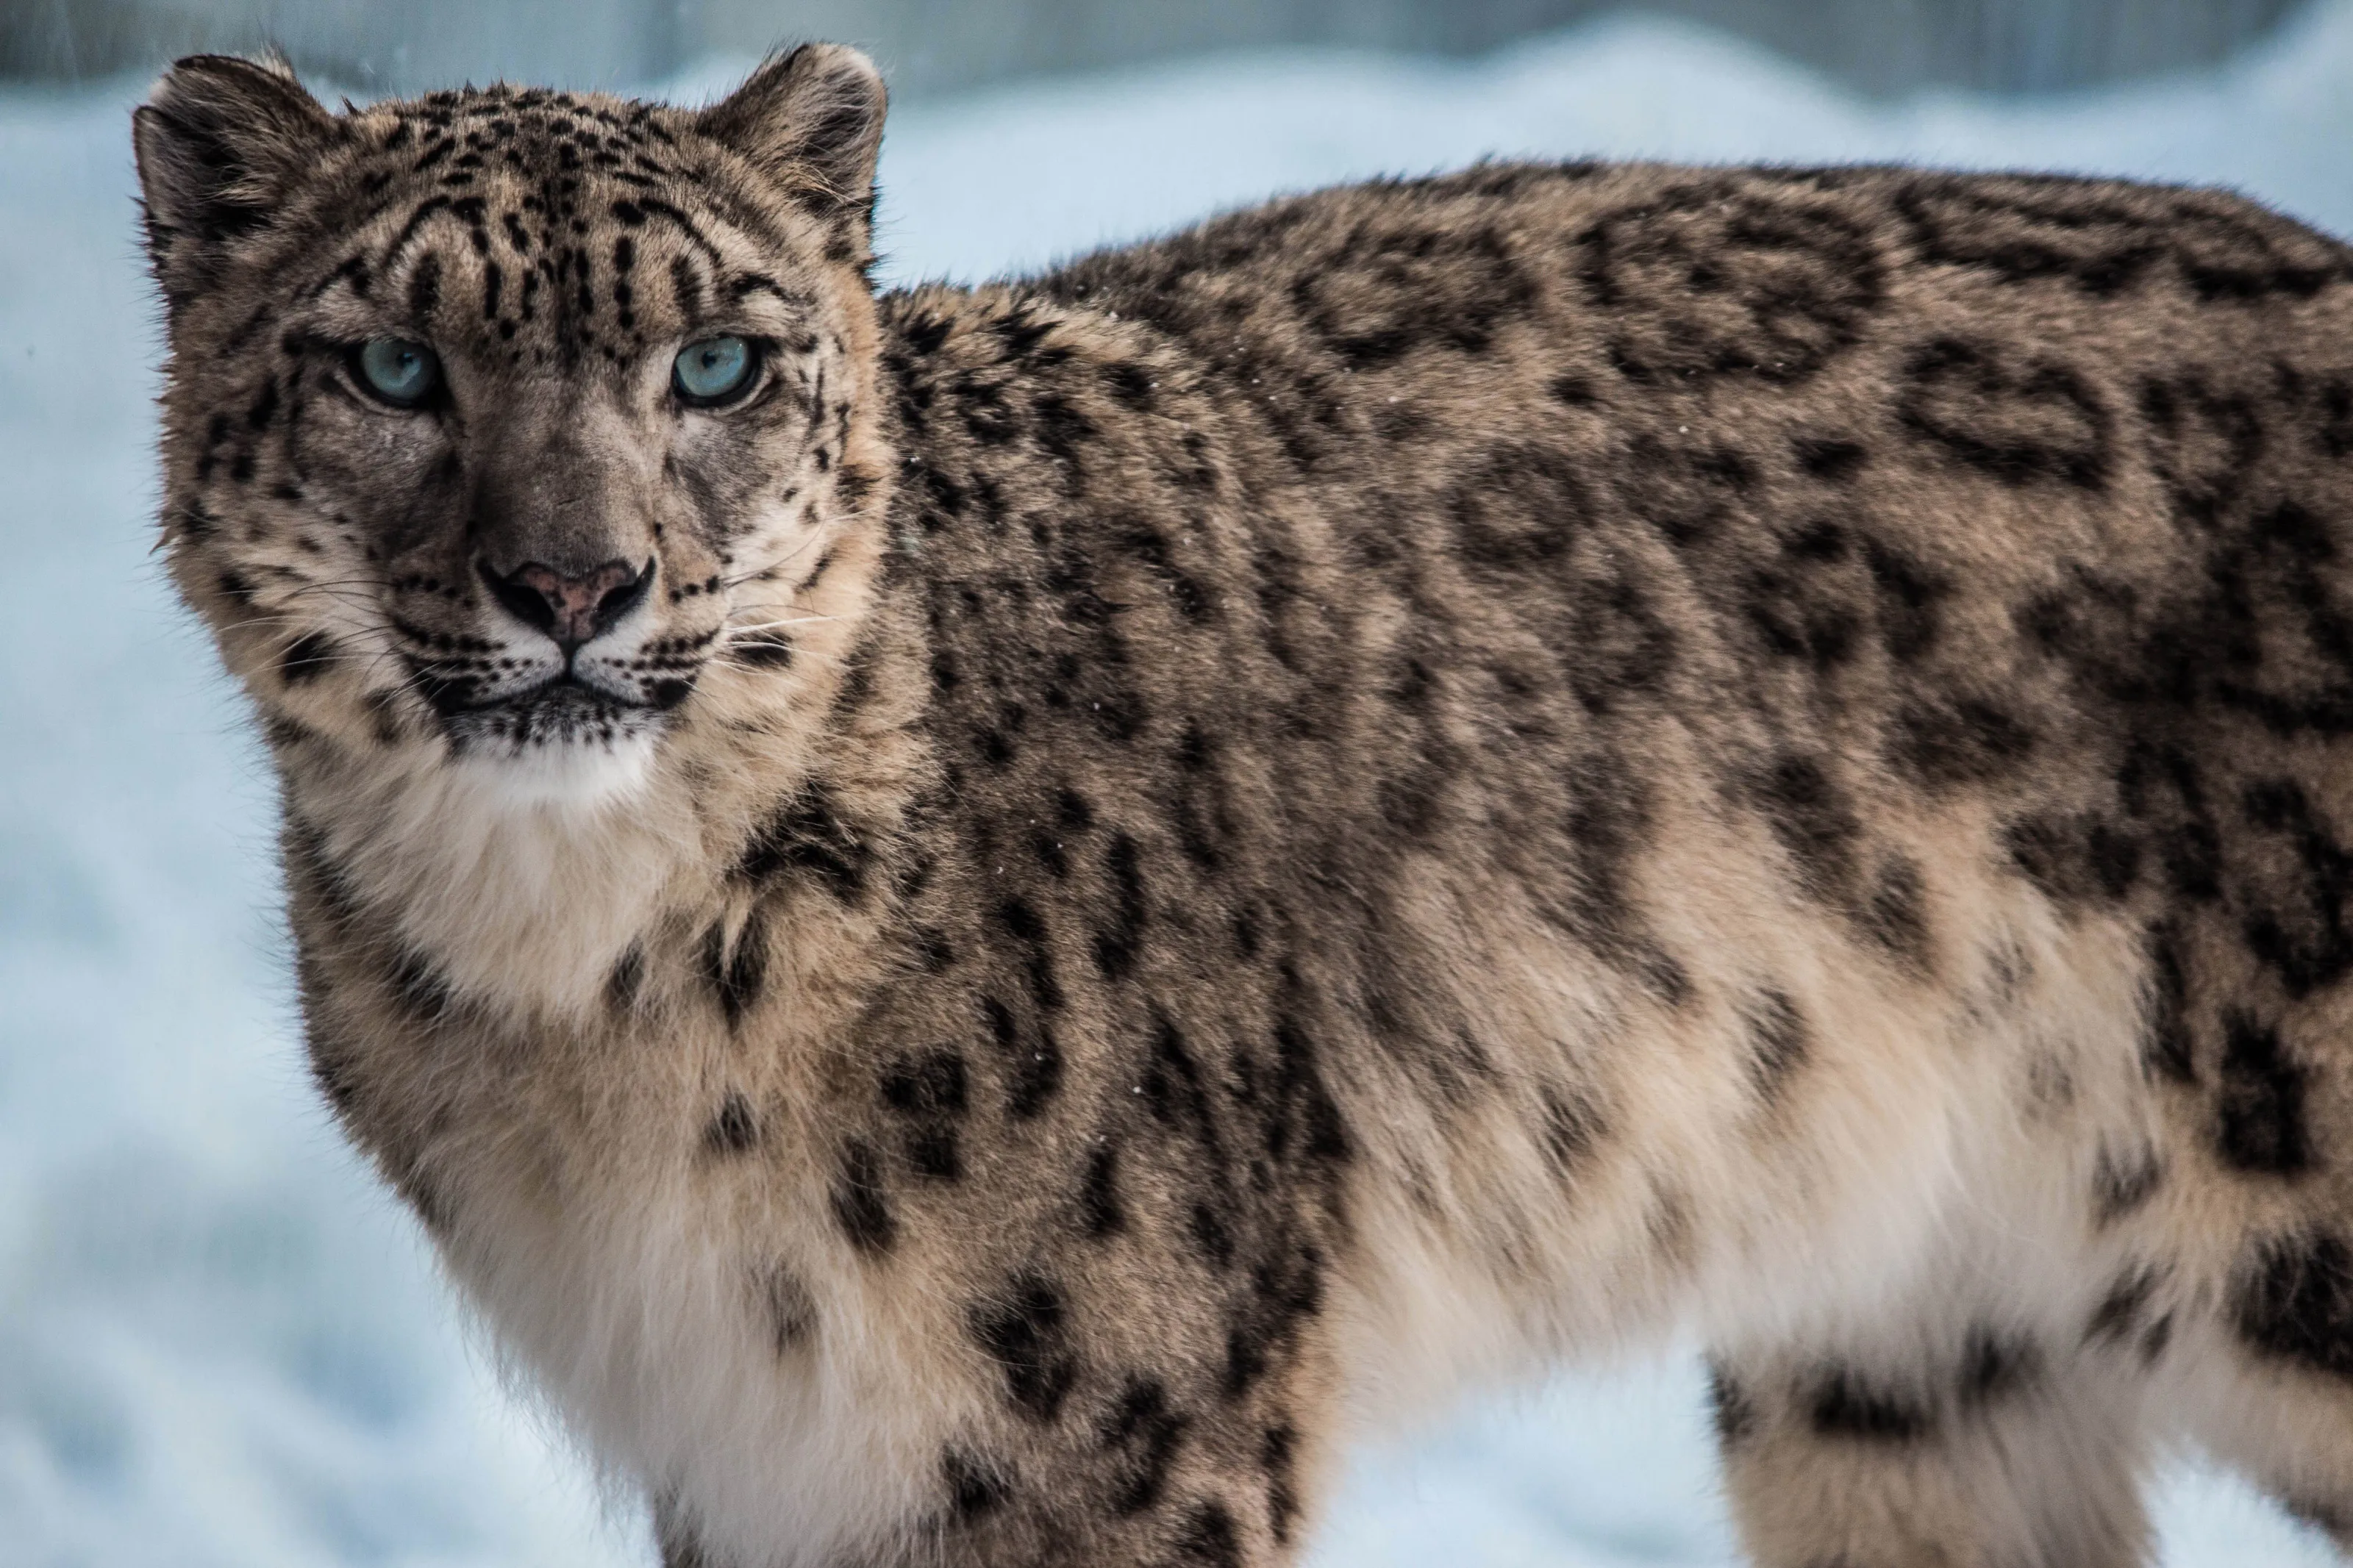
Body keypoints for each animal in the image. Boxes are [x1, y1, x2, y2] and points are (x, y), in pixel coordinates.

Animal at [132, 43, 2353, 1568]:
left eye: (716, 362)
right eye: (393, 366)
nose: (578, 585)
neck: (575, 987)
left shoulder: (1100, 1427)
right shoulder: (748, 1451)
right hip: (1910, 1370)